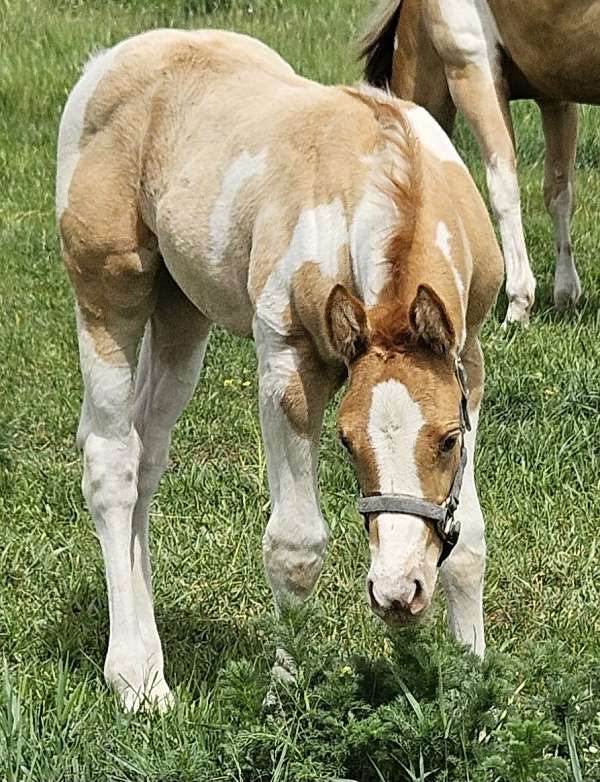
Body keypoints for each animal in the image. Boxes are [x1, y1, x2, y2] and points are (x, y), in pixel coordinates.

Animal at [56, 28, 502, 710]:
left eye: (450, 441)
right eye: (345, 441)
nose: (397, 593)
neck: (385, 173)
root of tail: (113, 60)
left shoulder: (468, 358)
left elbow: (469, 539)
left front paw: (469, 683)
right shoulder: (288, 360)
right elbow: (295, 543)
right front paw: (287, 696)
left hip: (181, 309)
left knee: (145, 454)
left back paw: (153, 655)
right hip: (110, 290)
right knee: (110, 460)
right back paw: (135, 677)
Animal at [362, 0, 599, 325]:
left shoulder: (472, 70)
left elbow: (503, 190)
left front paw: (518, 306)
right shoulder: (554, 96)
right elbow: (559, 193)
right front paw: (565, 295)